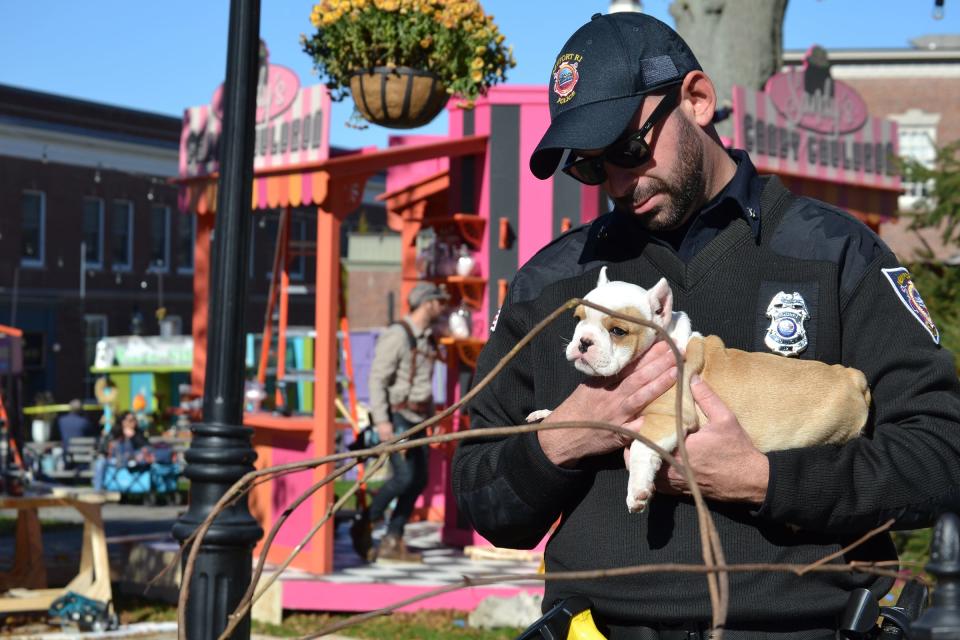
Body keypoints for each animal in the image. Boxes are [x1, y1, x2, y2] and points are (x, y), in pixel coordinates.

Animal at [524, 268, 872, 512]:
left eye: (618, 331)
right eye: (578, 319)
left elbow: (641, 449)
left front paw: (638, 490)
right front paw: (546, 414)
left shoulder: (667, 417)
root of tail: (851, 377)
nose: (583, 342)